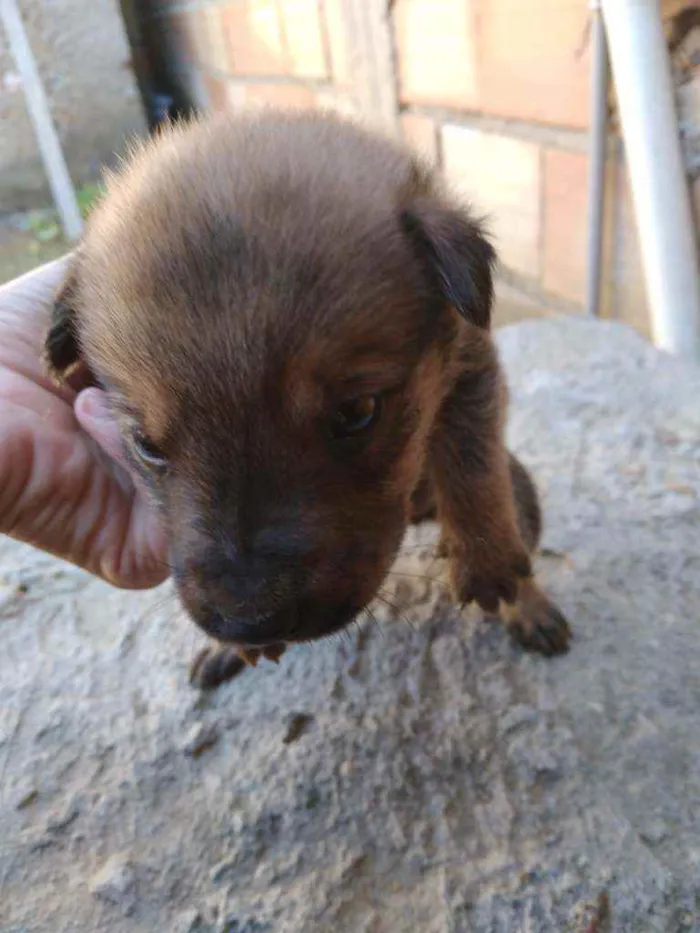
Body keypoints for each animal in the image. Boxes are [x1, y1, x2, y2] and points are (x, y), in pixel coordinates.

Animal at [42, 111, 568, 692]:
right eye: (146, 446)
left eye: (356, 413)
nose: (250, 620)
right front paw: (232, 645)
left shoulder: (473, 367)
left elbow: (471, 460)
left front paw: (485, 561)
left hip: (523, 494)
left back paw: (529, 607)